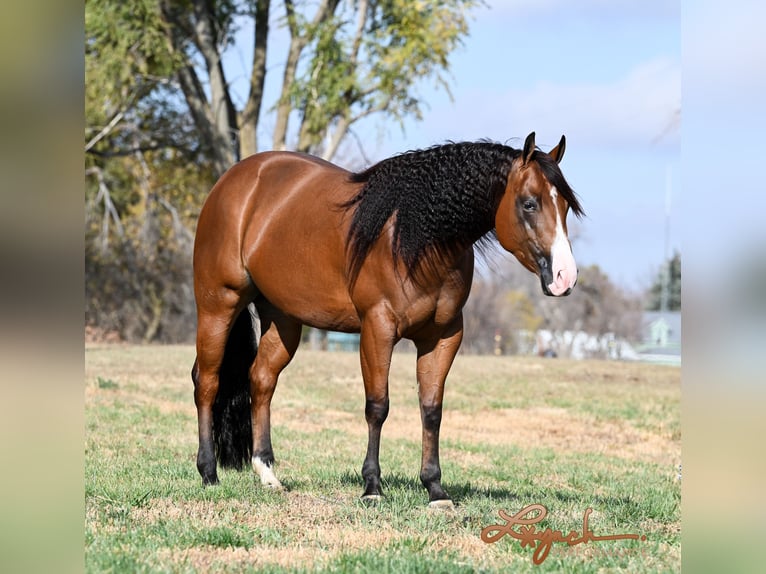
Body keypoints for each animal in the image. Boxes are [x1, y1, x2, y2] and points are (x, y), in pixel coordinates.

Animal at [192, 134, 584, 508]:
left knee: (261, 381)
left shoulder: (443, 337)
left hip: (282, 319)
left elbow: (431, 410)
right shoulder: (377, 329)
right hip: (219, 305)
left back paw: (267, 473)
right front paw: (372, 487)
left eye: (565, 205)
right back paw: (209, 473)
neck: (417, 237)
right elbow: (377, 406)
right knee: (207, 382)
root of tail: (234, 180)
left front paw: (435, 488)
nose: (565, 277)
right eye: (529, 203)